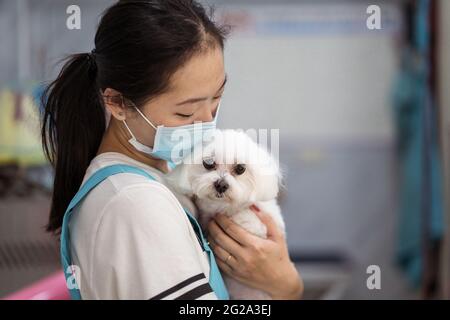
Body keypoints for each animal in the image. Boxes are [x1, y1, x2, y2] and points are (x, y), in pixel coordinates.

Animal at [165, 129, 284, 298]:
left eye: (240, 168)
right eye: (208, 163)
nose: (221, 185)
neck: (221, 206)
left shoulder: (262, 225)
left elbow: (246, 217)